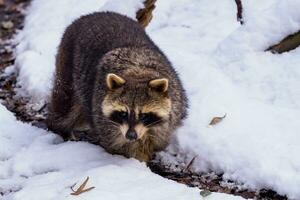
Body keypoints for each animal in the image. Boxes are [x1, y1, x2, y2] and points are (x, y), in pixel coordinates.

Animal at [47, 10, 188, 162]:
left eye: (144, 115)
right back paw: (60, 128)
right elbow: (119, 145)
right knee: (65, 107)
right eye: (123, 113)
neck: (138, 72)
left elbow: (153, 140)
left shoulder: (171, 114)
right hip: (67, 63)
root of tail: (93, 14)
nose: (131, 136)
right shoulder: (104, 118)